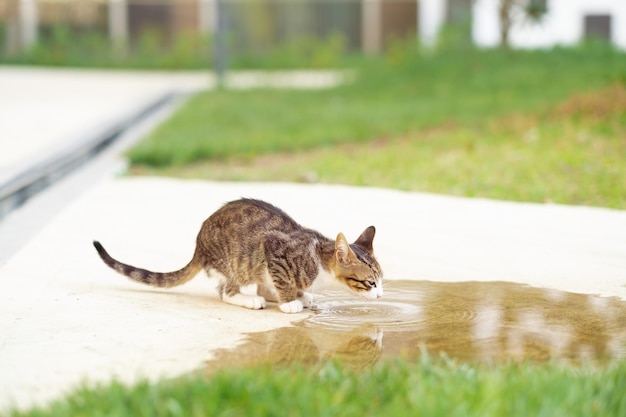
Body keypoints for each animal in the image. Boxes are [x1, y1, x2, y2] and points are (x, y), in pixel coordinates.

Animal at [92, 198, 380, 312]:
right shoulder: (274, 250)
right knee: (225, 291)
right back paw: (249, 299)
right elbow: (284, 280)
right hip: (239, 263)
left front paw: (298, 295)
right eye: (370, 283)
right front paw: (290, 301)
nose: (380, 296)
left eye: (380, 280)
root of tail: (198, 246)